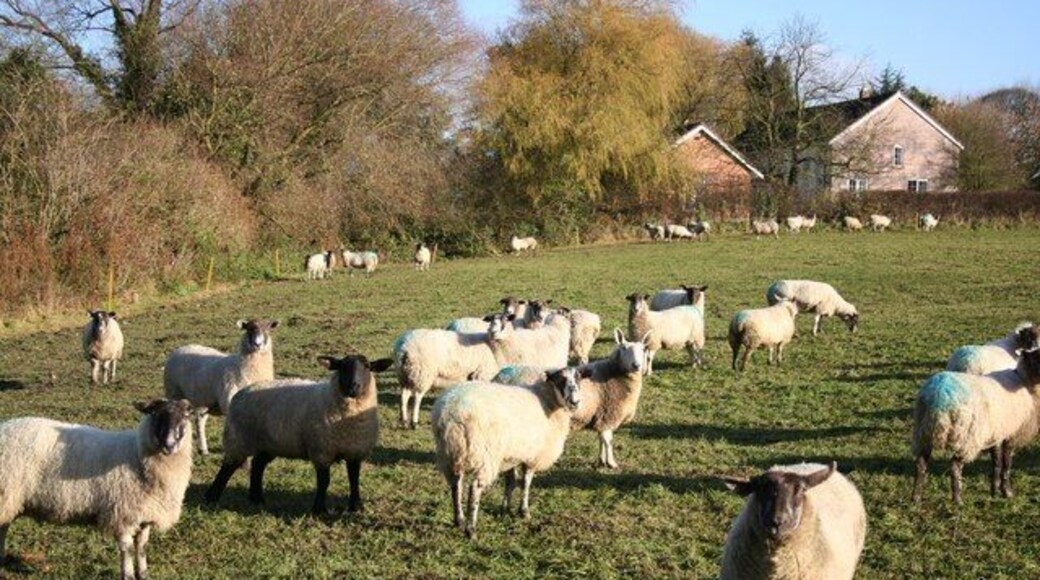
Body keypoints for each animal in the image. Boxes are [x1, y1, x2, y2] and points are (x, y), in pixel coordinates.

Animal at [0, 399, 194, 580]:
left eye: (186, 415)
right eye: (156, 414)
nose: (169, 445)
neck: (137, 454)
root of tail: (5, 426)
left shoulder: (144, 516)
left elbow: (142, 548)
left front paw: (144, 575)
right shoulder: (123, 515)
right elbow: (127, 550)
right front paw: (128, 575)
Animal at [163, 318, 279, 455]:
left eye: (268, 329)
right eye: (249, 329)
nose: (257, 344)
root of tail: (181, 348)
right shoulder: (229, 403)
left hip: (203, 401)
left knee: (199, 421)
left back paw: (203, 450)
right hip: (174, 392)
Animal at [205, 355, 393, 515]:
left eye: (368, 366)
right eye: (342, 366)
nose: (354, 386)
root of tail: (241, 392)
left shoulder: (355, 451)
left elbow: (354, 479)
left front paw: (356, 507)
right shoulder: (321, 451)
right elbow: (324, 481)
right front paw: (319, 509)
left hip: (268, 443)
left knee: (258, 465)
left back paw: (256, 498)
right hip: (239, 438)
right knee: (228, 467)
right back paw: (212, 498)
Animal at [431, 368, 581, 538]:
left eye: (578, 378)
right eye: (560, 380)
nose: (575, 402)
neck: (547, 400)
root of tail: (451, 412)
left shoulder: (511, 456)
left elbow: (510, 482)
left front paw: (505, 509)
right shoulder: (532, 457)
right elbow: (526, 483)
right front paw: (524, 511)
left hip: (451, 454)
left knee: (456, 486)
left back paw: (459, 520)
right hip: (484, 455)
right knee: (474, 489)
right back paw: (471, 530)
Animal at [913, 327, 1040, 504]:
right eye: (1037, 358)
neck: (1024, 381)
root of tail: (937, 397)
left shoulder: (996, 432)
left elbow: (996, 462)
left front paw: (994, 490)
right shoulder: (1010, 433)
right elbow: (1006, 464)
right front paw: (1007, 492)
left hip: (924, 432)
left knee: (921, 464)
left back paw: (916, 497)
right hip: (966, 437)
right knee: (955, 466)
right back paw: (958, 499)